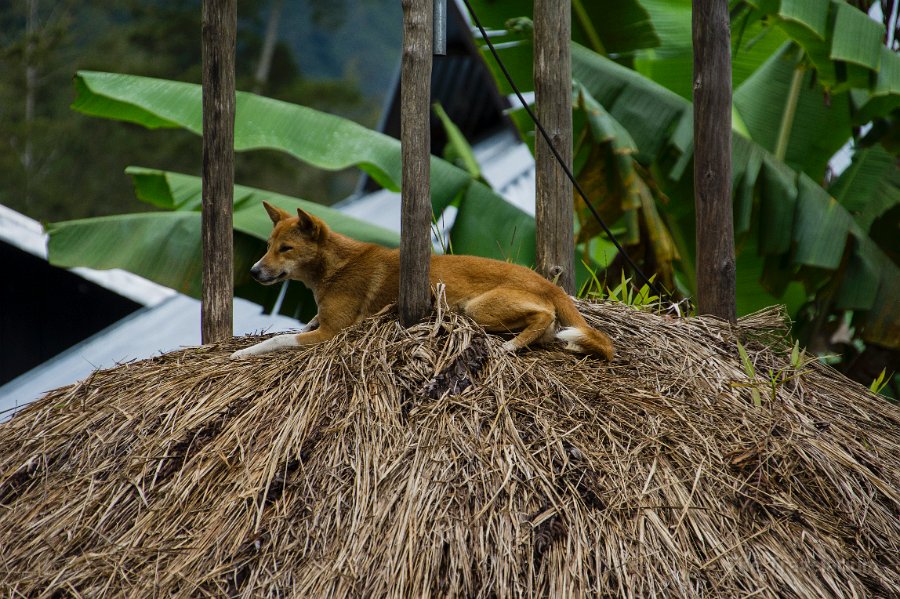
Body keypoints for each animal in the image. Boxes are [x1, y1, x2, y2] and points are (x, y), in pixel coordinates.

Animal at [229, 202, 616, 360]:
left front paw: (244, 351)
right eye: (268, 245)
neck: (336, 266)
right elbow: (303, 323)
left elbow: (279, 339)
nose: (253, 272)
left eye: (286, 248)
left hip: (478, 307)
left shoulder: (332, 333)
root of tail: (548, 282)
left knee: (544, 317)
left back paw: (513, 345)